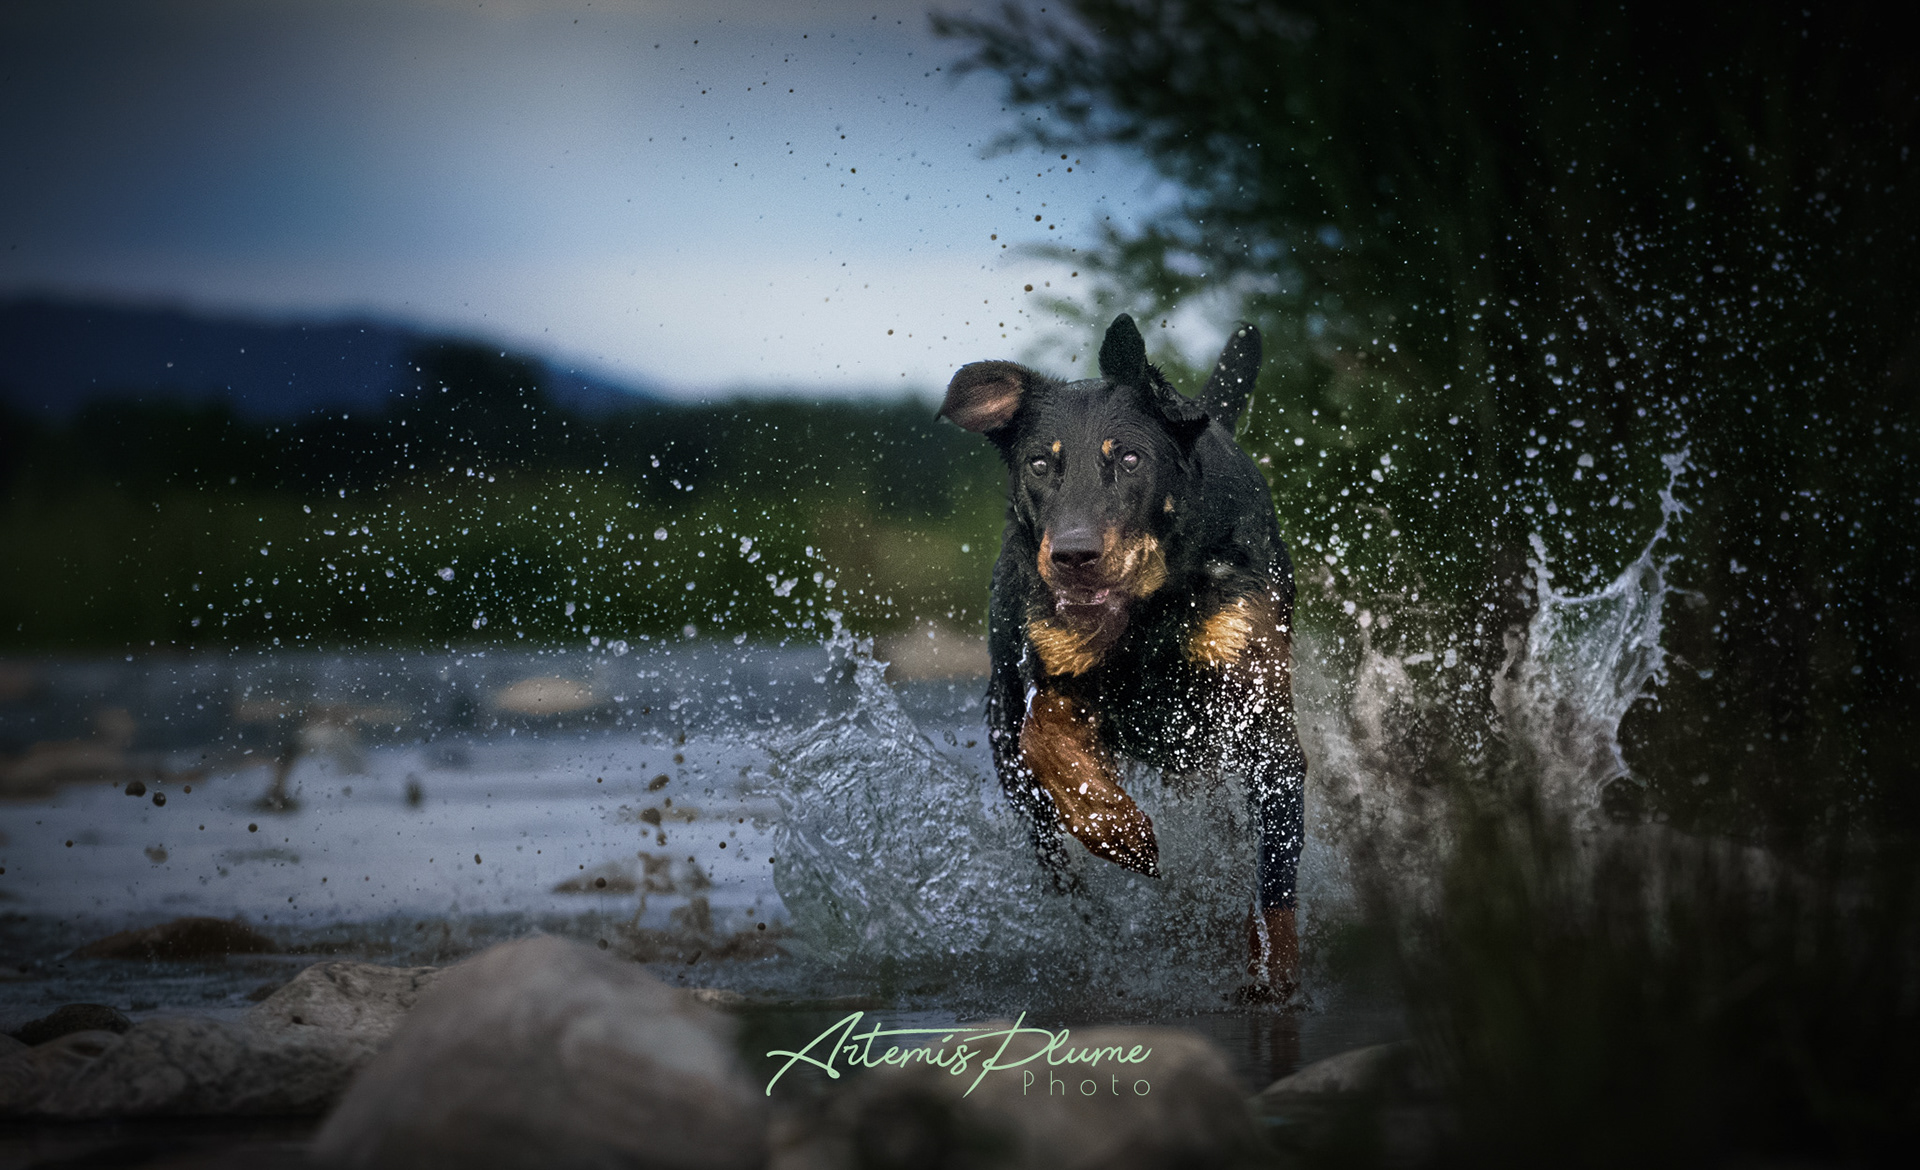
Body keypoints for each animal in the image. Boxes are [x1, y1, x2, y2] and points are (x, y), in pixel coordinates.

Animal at [940, 314, 1306, 996]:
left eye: (1131, 458)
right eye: (1039, 464)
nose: (1073, 556)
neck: (1149, 612)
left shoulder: (1259, 706)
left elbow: (1273, 884)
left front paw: (1273, 972)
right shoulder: (1052, 674)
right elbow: (1047, 739)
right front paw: (1120, 830)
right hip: (1014, 763)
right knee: (1061, 867)